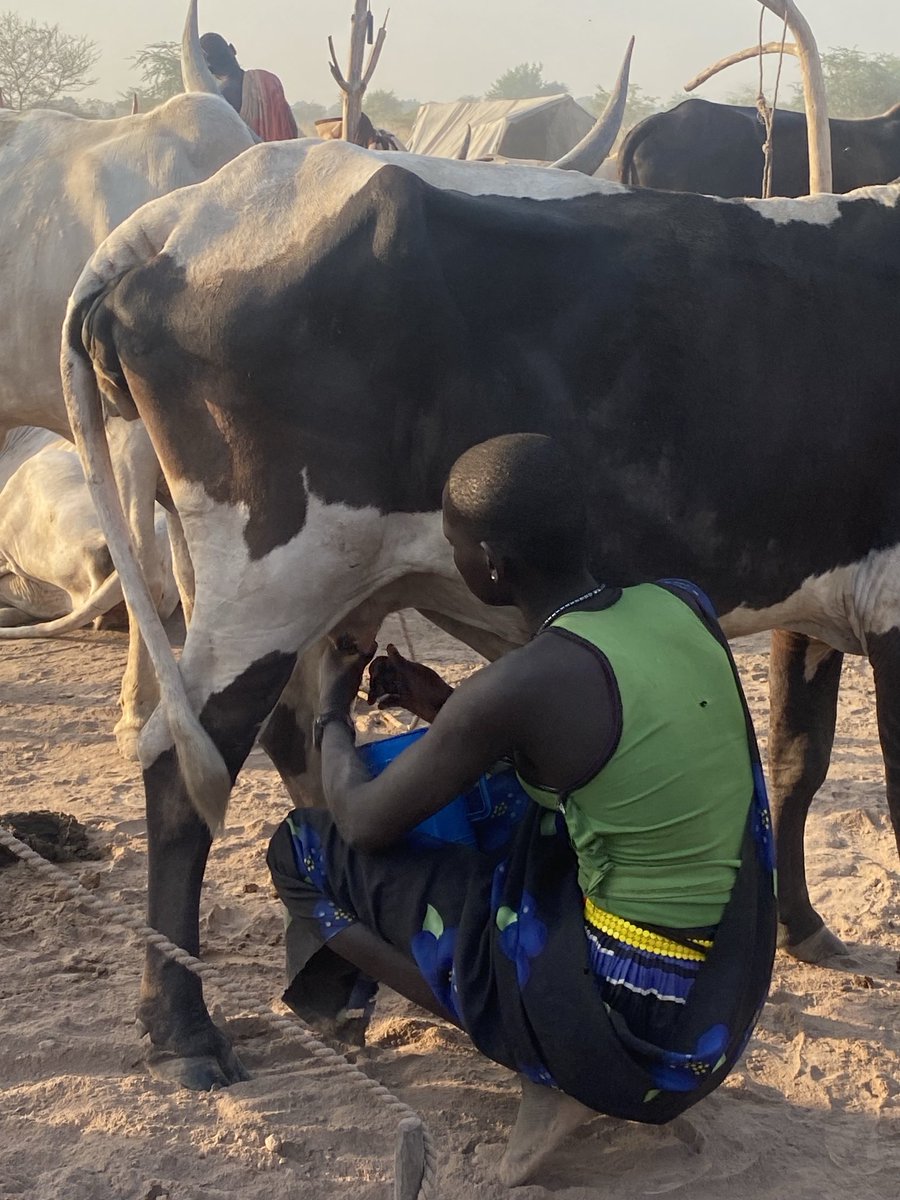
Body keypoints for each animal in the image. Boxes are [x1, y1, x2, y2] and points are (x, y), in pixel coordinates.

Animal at [61, 138, 900, 1089]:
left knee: (283, 741)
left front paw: (804, 927)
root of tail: (182, 215)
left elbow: (800, 760)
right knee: (182, 766)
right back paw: (185, 1026)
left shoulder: (820, 592)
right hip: (271, 584)